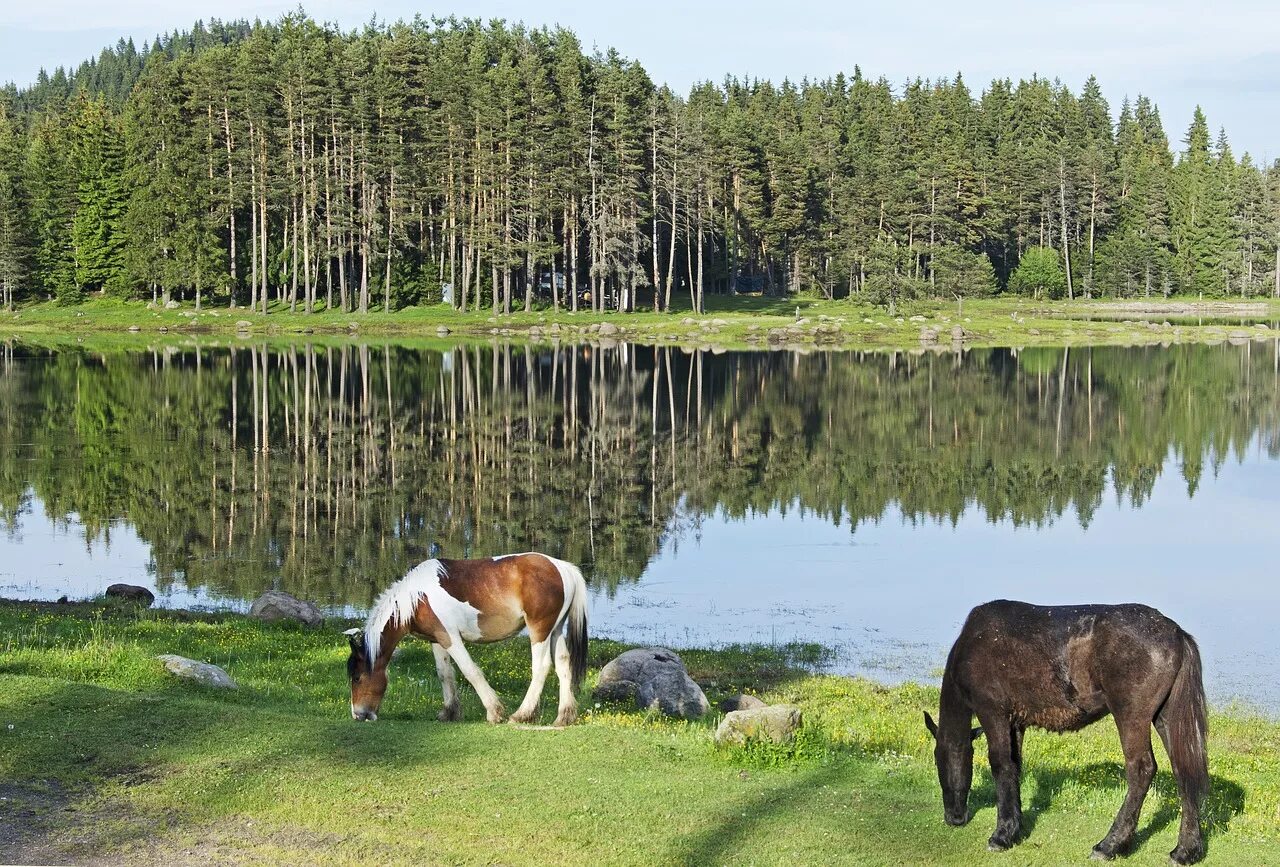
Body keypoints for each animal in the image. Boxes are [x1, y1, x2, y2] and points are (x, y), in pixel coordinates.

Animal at [348, 550, 591, 727]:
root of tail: (562, 567)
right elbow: (444, 673)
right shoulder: (437, 639)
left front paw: (494, 712)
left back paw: (521, 715)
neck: (416, 597)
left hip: (539, 630)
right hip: (555, 629)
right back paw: (564, 717)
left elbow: (470, 671)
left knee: (541, 667)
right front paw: (449, 712)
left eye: (357, 677)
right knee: (563, 664)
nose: (359, 715)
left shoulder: (451, 637)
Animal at [926, 599, 1203, 860]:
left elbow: (1000, 765)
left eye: (938, 759)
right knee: (1183, 772)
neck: (974, 641)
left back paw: (1109, 845)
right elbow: (1014, 767)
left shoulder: (993, 714)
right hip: (1164, 718)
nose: (954, 818)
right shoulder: (1015, 724)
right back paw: (1185, 851)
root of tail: (1176, 633)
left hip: (1131, 717)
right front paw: (1014, 828)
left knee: (1141, 770)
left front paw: (1001, 836)